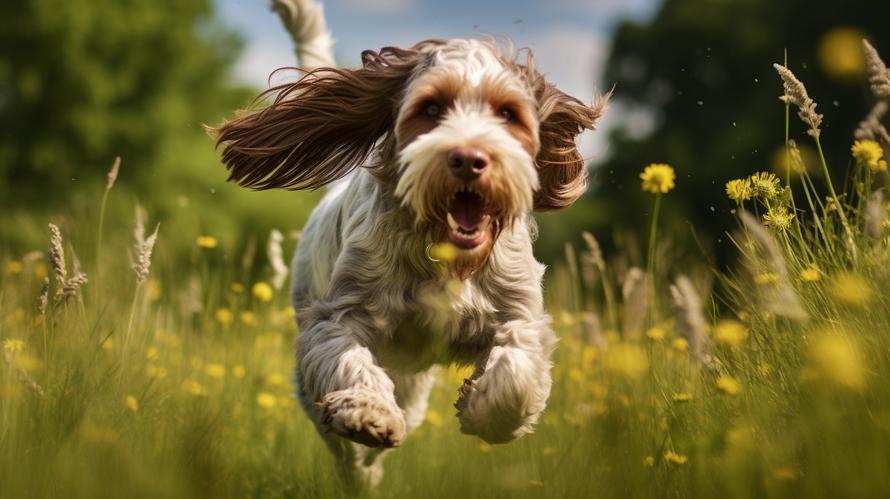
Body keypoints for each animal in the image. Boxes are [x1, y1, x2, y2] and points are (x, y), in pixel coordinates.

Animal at [212, 0, 608, 488]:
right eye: (432, 108)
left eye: (507, 114)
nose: (469, 159)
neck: (443, 254)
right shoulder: (338, 317)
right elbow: (349, 360)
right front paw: (368, 412)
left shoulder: (518, 313)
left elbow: (516, 370)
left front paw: (482, 412)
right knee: (342, 446)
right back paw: (359, 473)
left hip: (416, 386)